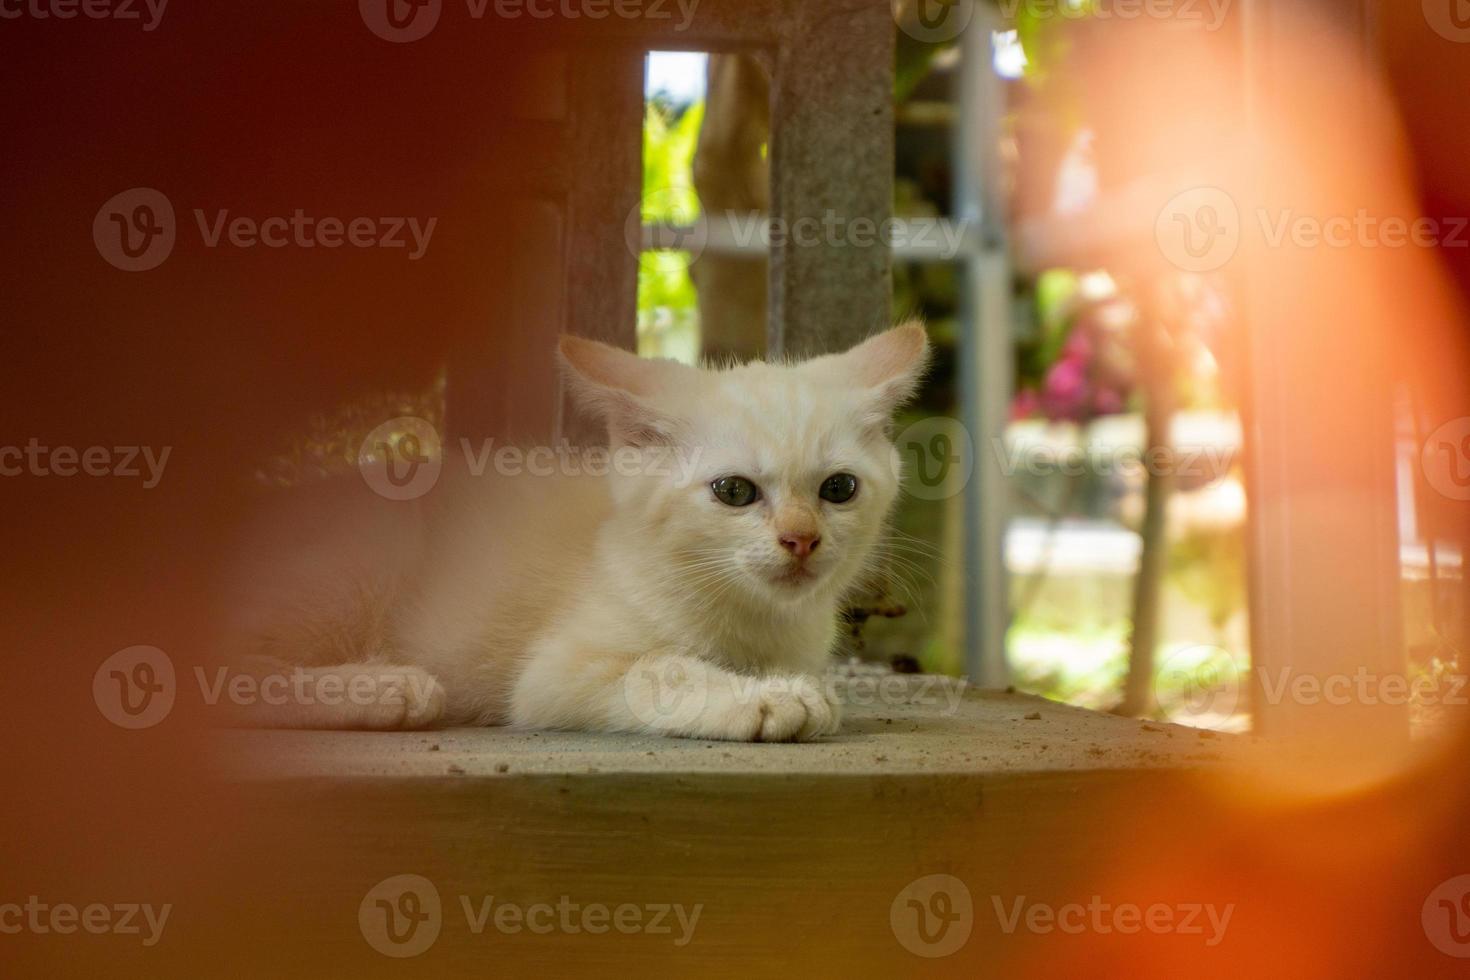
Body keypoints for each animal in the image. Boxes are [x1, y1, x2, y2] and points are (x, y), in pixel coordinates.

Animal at [223, 323, 923, 743]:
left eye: (839, 489)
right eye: (734, 492)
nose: (801, 540)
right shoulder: (555, 674)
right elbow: (658, 668)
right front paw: (767, 699)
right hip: (359, 561)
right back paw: (382, 687)